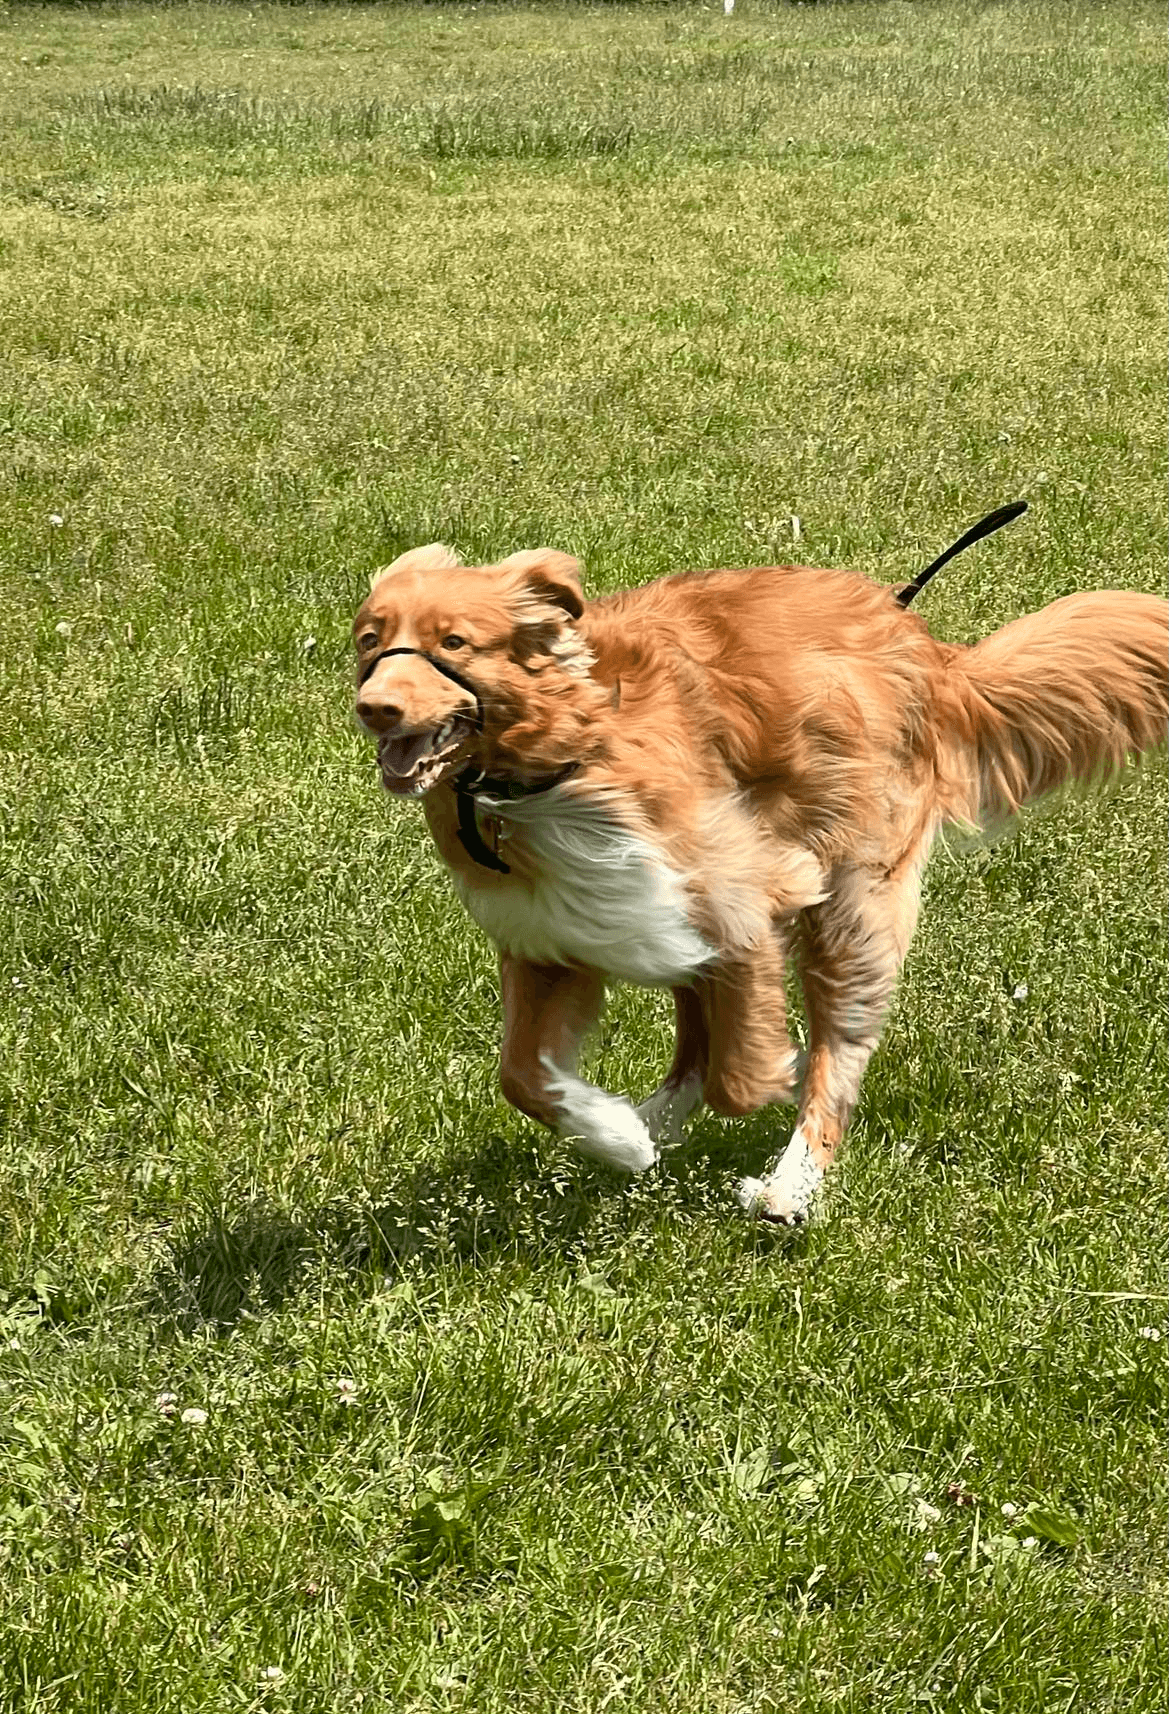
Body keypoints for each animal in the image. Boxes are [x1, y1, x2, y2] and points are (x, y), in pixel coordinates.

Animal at [347, 541, 1165, 1227]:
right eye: (369, 639)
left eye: (454, 643)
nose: (374, 707)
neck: (556, 763)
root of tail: (924, 645)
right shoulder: (551, 932)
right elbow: (520, 1075)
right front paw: (618, 1138)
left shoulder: (756, 889)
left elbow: (738, 1078)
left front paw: (762, 1080)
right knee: (693, 1036)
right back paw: (653, 1122)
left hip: (851, 901)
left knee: (834, 1049)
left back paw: (787, 1184)